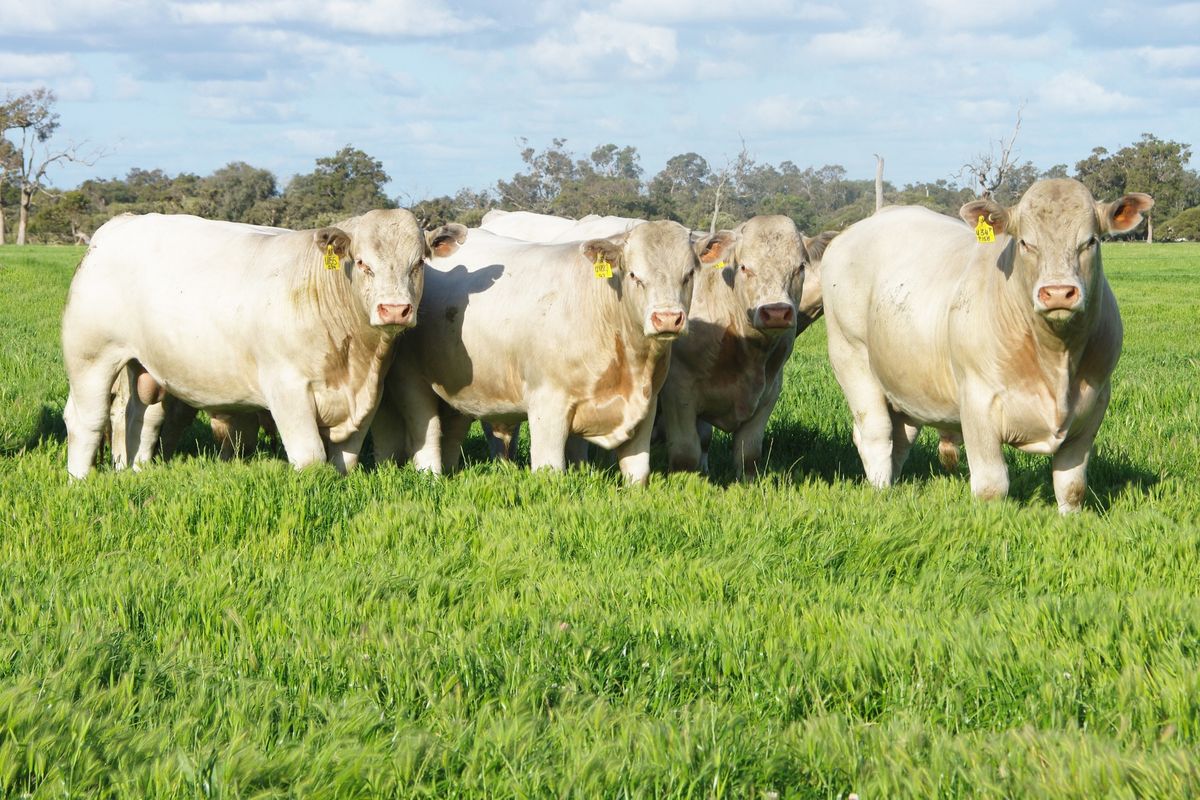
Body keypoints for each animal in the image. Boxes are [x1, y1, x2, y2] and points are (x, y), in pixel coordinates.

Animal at [60, 209, 465, 479]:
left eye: (418, 263)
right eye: (363, 263)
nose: (395, 309)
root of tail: (120, 223)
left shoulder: (367, 397)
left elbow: (344, 459)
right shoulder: (287, 388)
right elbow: (310, 456)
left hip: (142, 365)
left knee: (140, 417)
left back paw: (136, 471)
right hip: (91, 357)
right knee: (86, 419)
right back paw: (80, 480)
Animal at [372, 219, 729, 484]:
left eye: (689, 274)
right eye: (634, 275)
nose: (667, 318)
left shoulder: (647, 404)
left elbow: (637, 472)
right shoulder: (548, 404)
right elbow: (550, 471)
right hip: (411, 382)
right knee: (428, 433)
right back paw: (431, 476)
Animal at [825, 178, 1152, 513]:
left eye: (1091, 242)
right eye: (1025, 243)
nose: (1058, 293)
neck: (1056, 357)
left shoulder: (1094, 406)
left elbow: (1072, 487)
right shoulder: (977, 401)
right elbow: (991, 487)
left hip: (905, 383)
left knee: (901, 439)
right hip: (851, 356)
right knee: (876, 434)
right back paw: (881, 492)